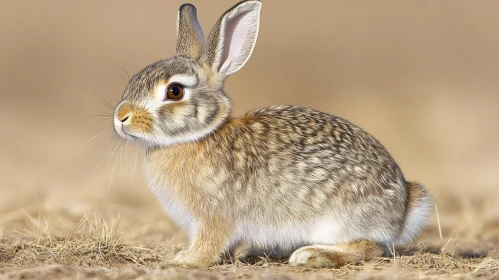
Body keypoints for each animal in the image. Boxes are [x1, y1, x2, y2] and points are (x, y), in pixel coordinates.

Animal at [113, 0, 434, 266]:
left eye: (175, 91)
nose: (120, 117)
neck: (197, 136)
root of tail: (404, 206)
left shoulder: (215, 216)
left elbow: (210, 243)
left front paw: (186, 260)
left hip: (337, 219)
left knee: (372, 247)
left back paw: (311, 255)